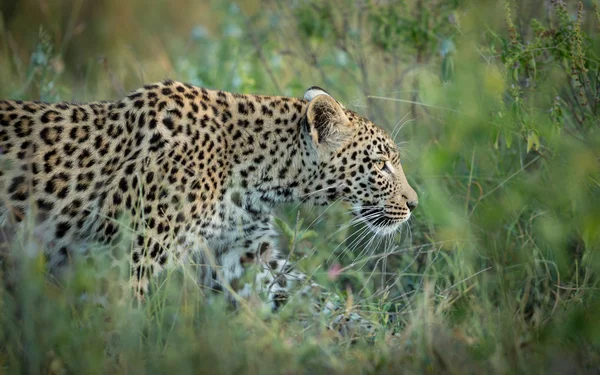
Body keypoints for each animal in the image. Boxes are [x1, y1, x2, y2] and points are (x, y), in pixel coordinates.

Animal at [0, 80, 418, 334]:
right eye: (382, 164)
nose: (414, 204)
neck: (257, 175)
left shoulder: (245, 254)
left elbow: (311, 295)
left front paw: (386, 338)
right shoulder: (123, 260)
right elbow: (120, 320)